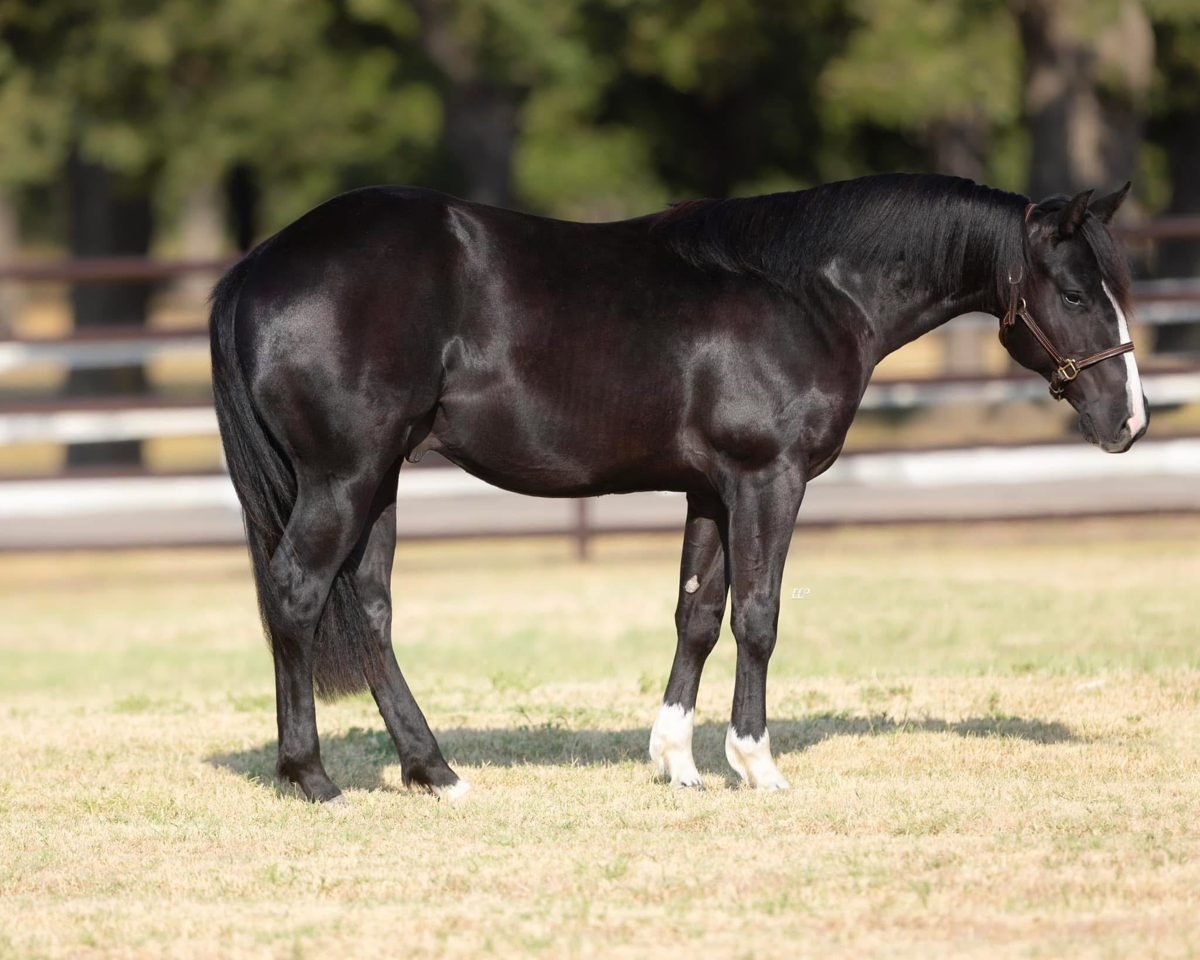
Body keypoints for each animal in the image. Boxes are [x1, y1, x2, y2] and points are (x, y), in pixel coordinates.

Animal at [209, 173, 1147, 803]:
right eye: (1073, 291)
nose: (1131, 421)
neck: (806, 289)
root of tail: (258, 264)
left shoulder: (710, 491)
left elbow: (696, 614)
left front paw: (678, 761)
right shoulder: (767, 479)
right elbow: (758, 617)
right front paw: (756, 762)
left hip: (380, 481)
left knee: (369, 610)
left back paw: (434, 769)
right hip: (346, 476)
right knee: (296, 593)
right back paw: (311, 776)